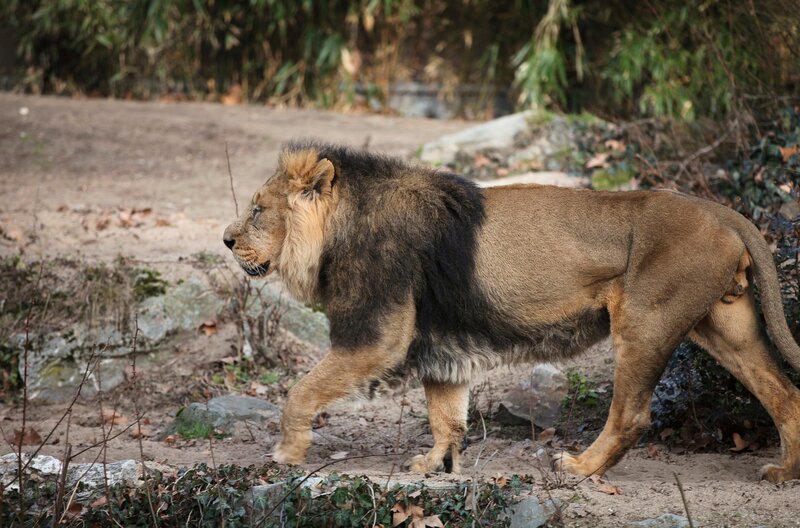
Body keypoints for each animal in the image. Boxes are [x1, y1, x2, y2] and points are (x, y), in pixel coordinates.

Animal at [223, 140, 800, 483]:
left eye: (258, 210)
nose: (226, 240)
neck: (339, 227)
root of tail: (723, 210)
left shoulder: (378, 333)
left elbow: (301, 390)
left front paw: (287, 453)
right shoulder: (439, 343)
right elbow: (446, 415)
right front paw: (436, 463)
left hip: (645, 320)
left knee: (632, 415)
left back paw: (580, 467)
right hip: (726, 326)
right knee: (785, 394)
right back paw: (784, 473)